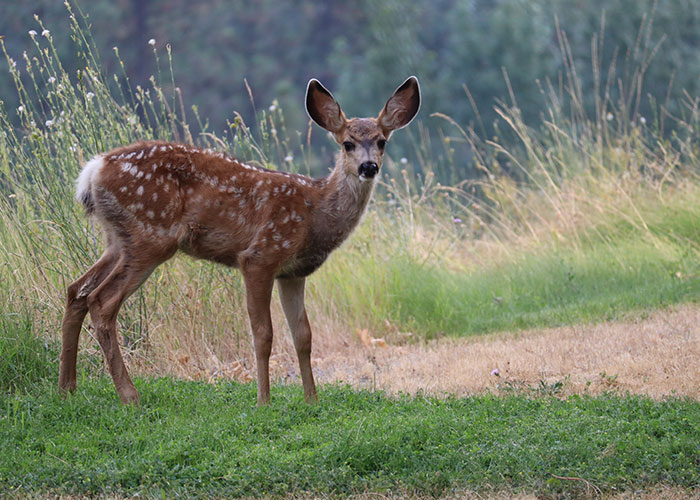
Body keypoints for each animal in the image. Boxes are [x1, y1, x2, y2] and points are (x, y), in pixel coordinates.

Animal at [58, 78, 422, 406]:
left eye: (381, 141)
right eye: (347, 143)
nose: (368, 167)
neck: (314, 212)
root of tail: (93, 171)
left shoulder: (293, 273)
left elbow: (303, 335)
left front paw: (312, 400)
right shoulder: (260, 256)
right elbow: (263, 334)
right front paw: (264, 401)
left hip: (118, 239)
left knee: (77, 290)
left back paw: (67, 389)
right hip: (151, 235)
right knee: (102, 301)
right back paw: (129, 396)